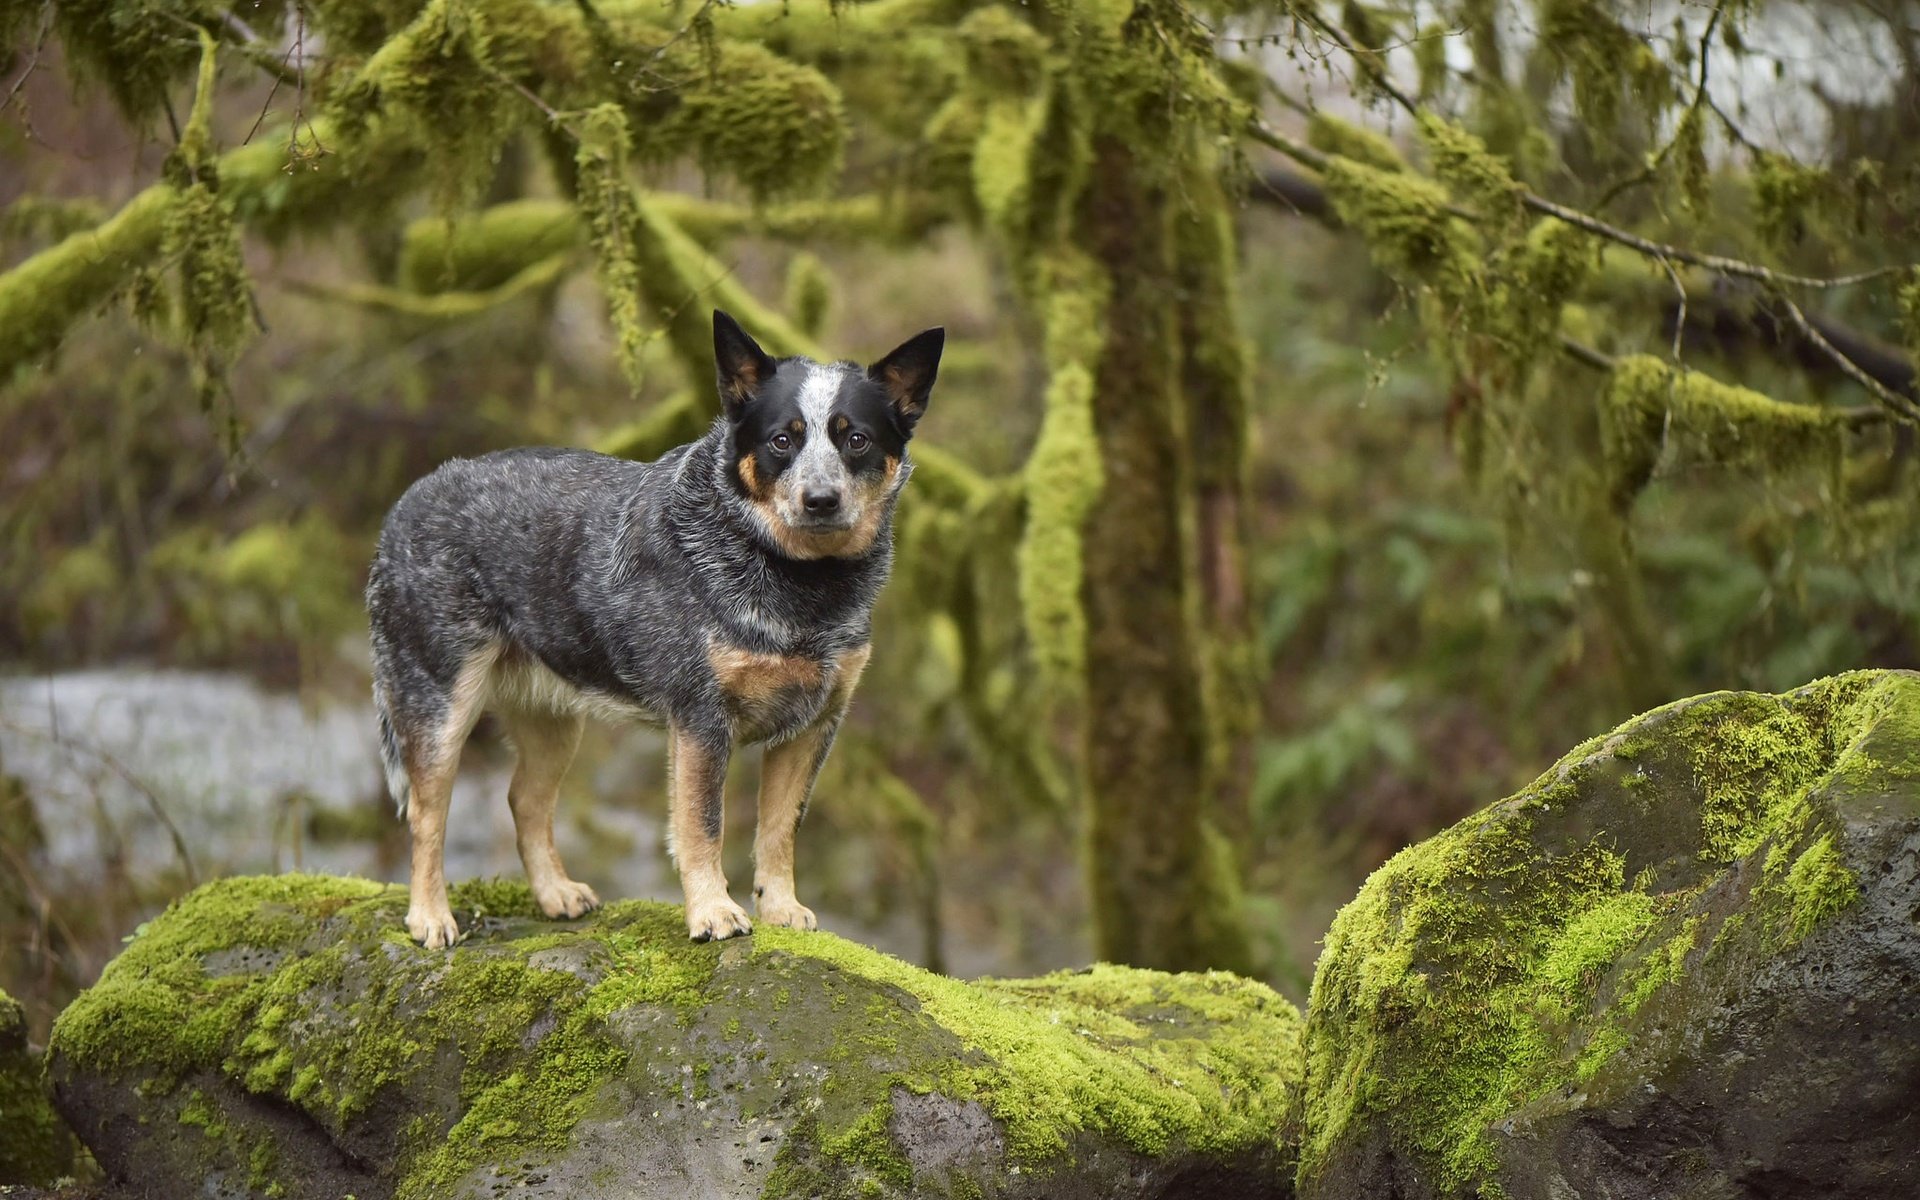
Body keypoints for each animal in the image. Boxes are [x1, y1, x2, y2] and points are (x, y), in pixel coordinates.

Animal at [362, 309, 940, 944]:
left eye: (855, 438)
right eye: (782, 440)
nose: (820, 499)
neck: (803, 588)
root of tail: (407, 502)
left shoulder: (814, 725)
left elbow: (779, 829)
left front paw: (782, 908)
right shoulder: (701, 720)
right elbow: (702, 826)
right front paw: (714, 912)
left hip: (553, 719)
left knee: (525, 800)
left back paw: (556, 894)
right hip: (440, 704)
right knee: (426, 813)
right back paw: (430, 917)